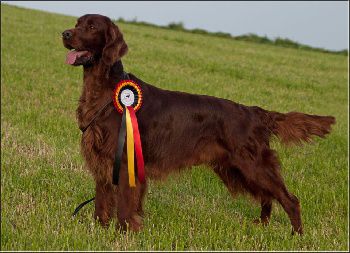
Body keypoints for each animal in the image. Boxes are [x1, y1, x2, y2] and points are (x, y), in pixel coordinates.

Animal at [61, 14, 334, 235]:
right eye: (77, 23)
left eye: (92, 26)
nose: (65, 34)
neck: (106, 93)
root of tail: (255, 112)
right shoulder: (103, 159)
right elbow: (102, 201)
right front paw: (99, 229)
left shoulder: (127, 161)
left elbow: (126, 204)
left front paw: (125, 233)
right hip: (238, 168)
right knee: (267, 196)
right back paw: (263, 225)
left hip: (253, 164)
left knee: (290, 199)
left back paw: (297, 236)